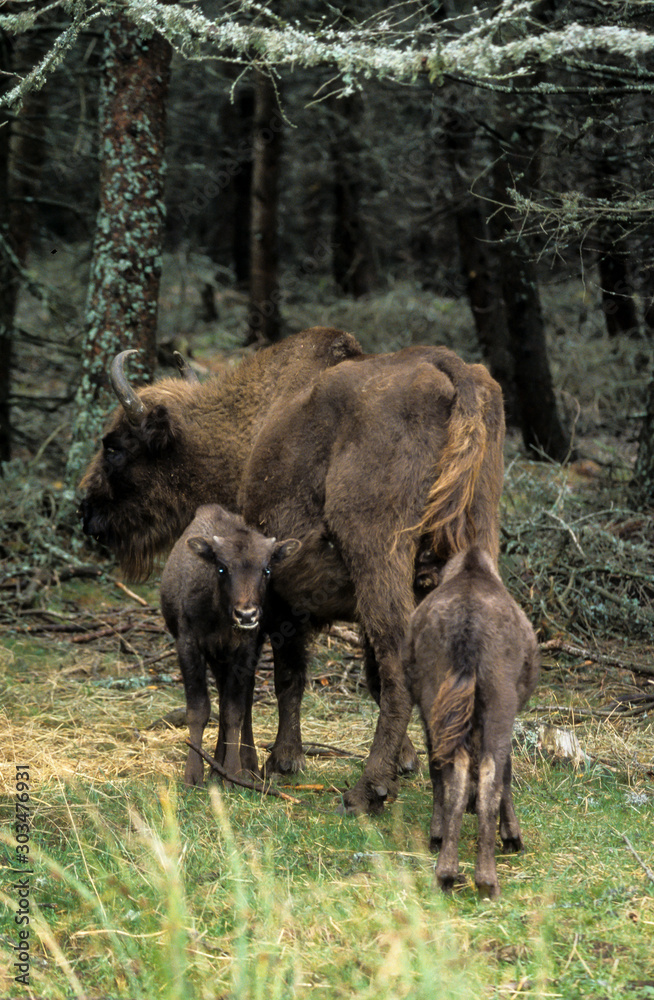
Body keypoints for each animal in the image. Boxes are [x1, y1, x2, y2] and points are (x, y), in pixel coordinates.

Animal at [79, 326, 505, 814]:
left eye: (114, 447)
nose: (85, 511)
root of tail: (449, 372)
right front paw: (407, 760)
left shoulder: (279, 602)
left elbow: (282, 678)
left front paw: (278, 761)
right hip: (476, 542)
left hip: (378, 557)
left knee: (397, 661)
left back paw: (366, 791)